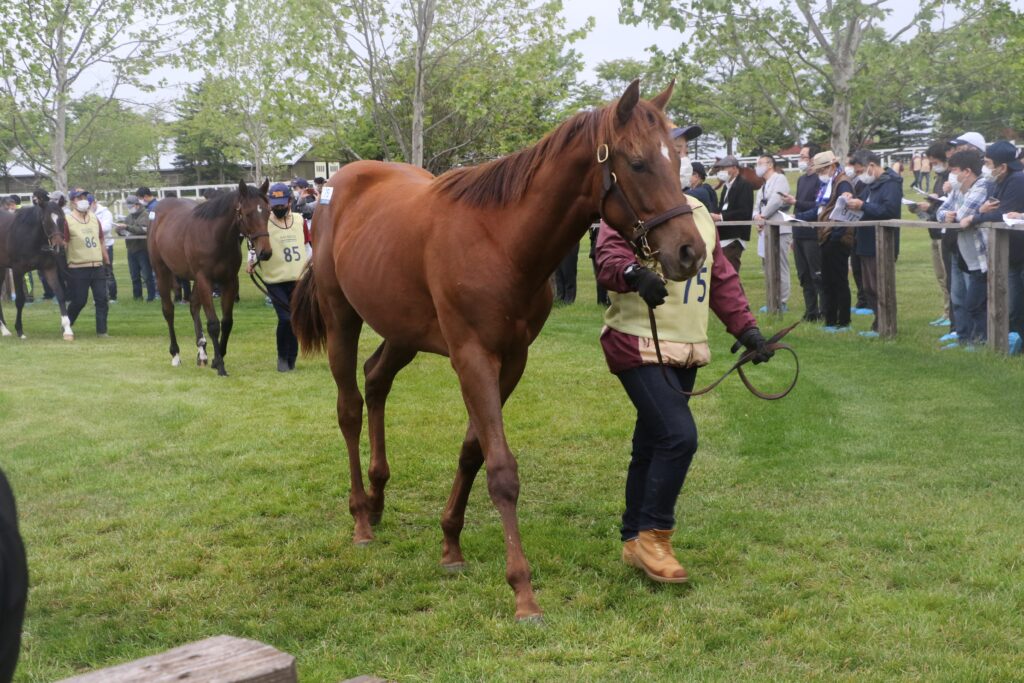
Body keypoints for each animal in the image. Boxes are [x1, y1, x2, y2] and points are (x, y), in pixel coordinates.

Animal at [0, 198, 73, 340]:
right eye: (46, 220)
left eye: (62, 219)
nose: (59, 246)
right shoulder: (17, 270)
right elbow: (20, 300)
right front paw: (20, 330)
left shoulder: (49, 269)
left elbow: (60, 294)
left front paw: (67, 330)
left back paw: (4, 329)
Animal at [148, 179, 271, 376]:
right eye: (247, 213)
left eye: (268, 211)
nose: (265, 252)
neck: (215, 236)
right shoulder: (205, 280)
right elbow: (213, 324)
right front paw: (220, 365)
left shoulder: (229, 281)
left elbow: (227, 322)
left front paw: (215, 358)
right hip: (162, 273)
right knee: (168, 311)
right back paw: (175, 354)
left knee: (193, 307)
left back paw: (202, 352)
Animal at [289, 79, 707, 620]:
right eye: (637, 163)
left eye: (677, 160)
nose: (690, 252)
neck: (501, 240)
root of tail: (334, 188)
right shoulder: (472, 358)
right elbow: (502, 469)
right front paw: (523, 592)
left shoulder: (512, 361)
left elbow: (473, 451)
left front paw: (450, 544)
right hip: (342, 318)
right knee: (349, 408)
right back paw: (361, 517)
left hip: (402, 332)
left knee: (376, 378)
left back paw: (379, 498)